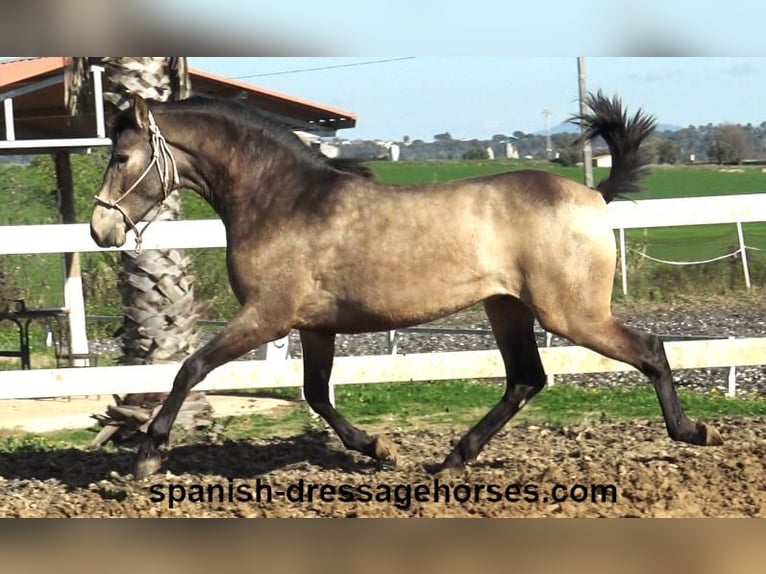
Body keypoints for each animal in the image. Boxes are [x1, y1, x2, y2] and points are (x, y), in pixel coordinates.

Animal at [91, 92, 728, 480]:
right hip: (507, 309)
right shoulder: (315, 326)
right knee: (526, 379)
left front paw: (148, 455)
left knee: (649, 349)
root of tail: (595, 194)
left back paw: (694, 431)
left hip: (570, 313)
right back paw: (451, 460)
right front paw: (379, 449)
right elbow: (316, 394)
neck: (284, 200)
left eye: (121, 157)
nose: (101, 229)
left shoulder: (267, 315)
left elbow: (190, 368)